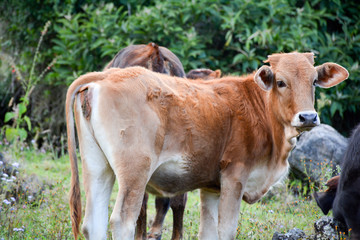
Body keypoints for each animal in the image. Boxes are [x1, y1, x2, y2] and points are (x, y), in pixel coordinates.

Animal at [66, 51, 348, 239]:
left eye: (313, 82)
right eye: (281, 82)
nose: (308, 117)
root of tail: (105, 76)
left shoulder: (211, 187)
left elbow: (208, 232)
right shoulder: (234, 176)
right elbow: (226, 230)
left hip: (97, 167)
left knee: (94, 222)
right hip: (134, 171)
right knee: (122, 221)